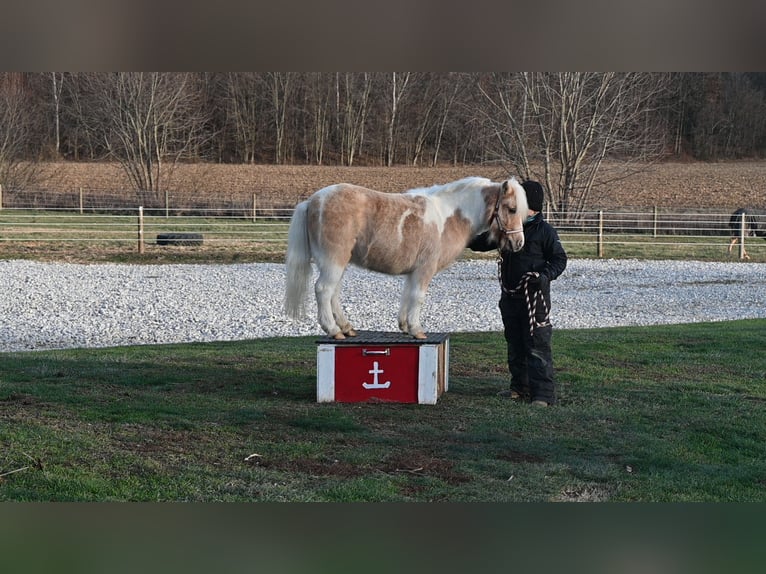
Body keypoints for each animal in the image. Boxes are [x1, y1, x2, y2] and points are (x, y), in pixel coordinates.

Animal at [284, 178, 532, 340]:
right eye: (511, 209)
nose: (518, 243)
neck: (449, 217)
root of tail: (312, 201)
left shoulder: (414, 272)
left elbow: (407, 295)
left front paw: (404, 325)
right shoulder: (425, 269)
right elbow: (418, 297)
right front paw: (416, 329)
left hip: (338, 263)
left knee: (333, 293)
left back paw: (346, 328)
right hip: (333, 261)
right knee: (324, 290)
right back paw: (334, 330)